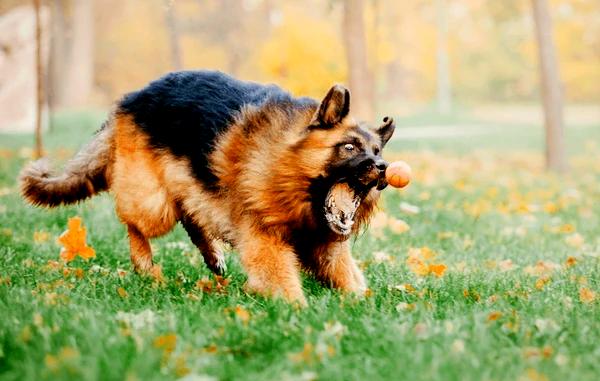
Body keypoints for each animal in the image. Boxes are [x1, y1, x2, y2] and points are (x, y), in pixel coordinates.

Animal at [19, 70, 394, 304]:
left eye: (377, 150)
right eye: (349, 147)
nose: (383, 170)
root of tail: (130, 100)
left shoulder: (328, 249)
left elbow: (351, 280)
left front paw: (363, 304)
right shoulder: (264, 242)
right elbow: (281, 280)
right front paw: (298, 311)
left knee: (191, 215)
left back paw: (212, 255)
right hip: (154, 205)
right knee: (135, 223)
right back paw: (144, 264)